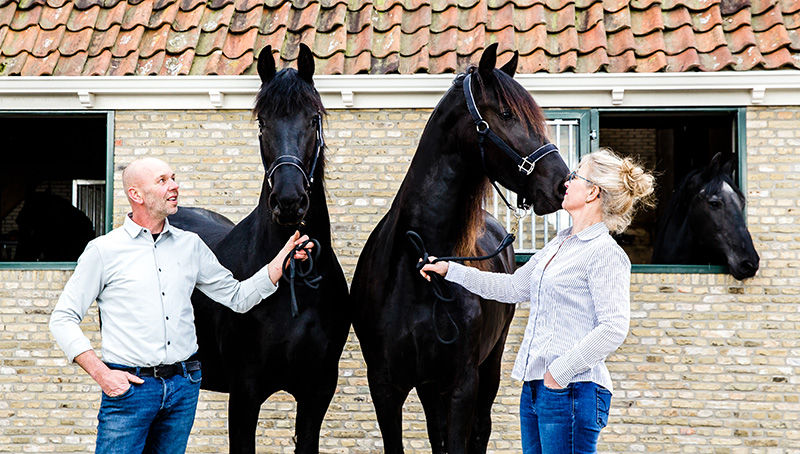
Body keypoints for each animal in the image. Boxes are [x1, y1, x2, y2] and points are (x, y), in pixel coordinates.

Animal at [350, 43, 569, 454]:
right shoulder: (385, 385)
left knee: (480, 429)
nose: (563, 183)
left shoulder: (462, 384)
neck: (418, 268)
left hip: (489, 367)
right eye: (506, 113)